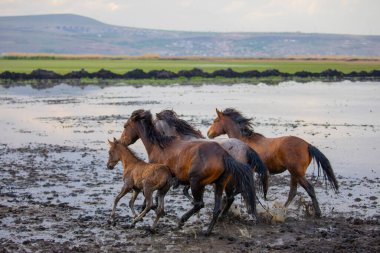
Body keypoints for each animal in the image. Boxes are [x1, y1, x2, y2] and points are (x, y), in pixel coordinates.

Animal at [121, 108, 258, 235]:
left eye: (125, 126)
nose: (123, 141)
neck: (160, 146)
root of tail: (225, 155)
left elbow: (149, 199)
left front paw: (140, 217)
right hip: (219, 184)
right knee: (217, 207)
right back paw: (208, 231)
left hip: (196, 182)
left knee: (201, 203)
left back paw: (182, 221)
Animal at [206, 107, 340, 217]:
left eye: (216, 121)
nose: (208, 133)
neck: (243, 142)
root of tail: (307, 145)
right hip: (294, 174)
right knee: (293, 192)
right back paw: (281, 210)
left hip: (297, 173)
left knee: (309, 188)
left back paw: (317, 213)